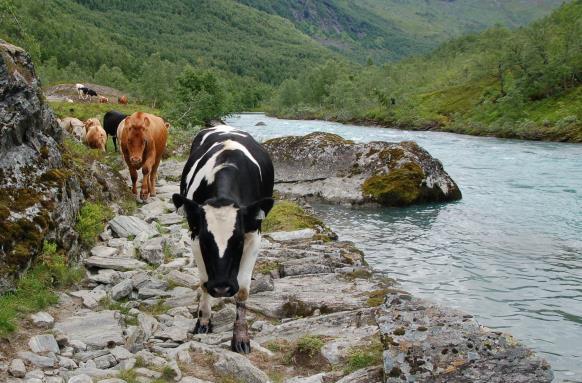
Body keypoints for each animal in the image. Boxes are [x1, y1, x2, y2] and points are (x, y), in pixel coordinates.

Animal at [172, 126, 274, 354]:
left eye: (238, 242)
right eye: (205, 241)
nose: (221, 288)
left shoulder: (254, 235)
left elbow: (243, 291)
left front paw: (241, 337)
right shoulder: (194, 234)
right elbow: (203, 282)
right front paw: (203, 321)